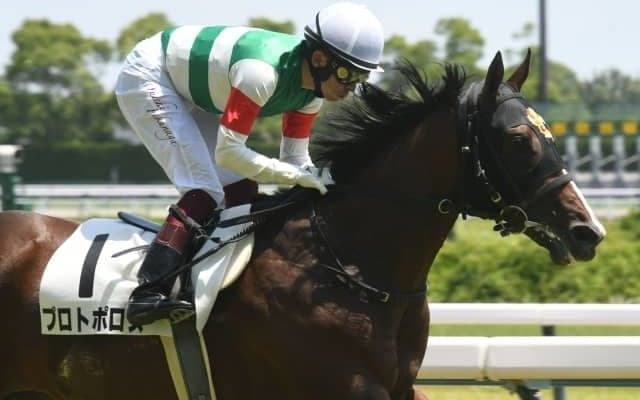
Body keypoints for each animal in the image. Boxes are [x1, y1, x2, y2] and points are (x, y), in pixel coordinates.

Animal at [0, 50, 605, 400]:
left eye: (550, 135)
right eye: (520, 140)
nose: (588, 230)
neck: (348, 265)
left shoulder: (402, 387)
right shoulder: (342, 388)